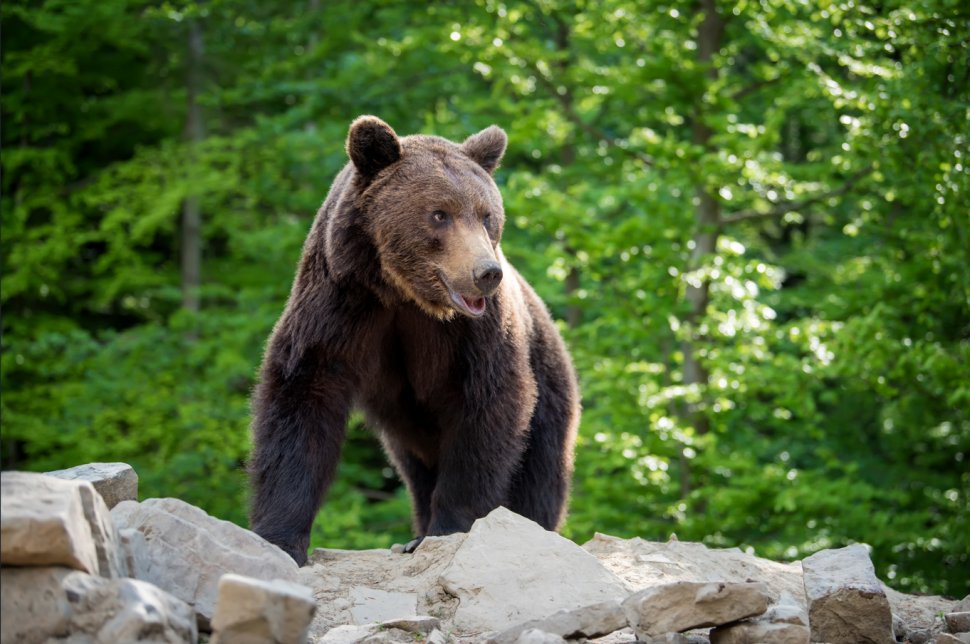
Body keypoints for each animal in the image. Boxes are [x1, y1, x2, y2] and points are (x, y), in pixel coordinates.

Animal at [250, 114, 584, 564]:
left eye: (486, 215)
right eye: (439, 213)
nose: (487, 272)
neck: (405, 295)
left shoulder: (476, 334)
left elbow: (487, 410)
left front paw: (449, 528)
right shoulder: (340, 306)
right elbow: (302, 397)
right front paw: (281, 538)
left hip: (549, 387)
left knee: (538, 474)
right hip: (407, 433)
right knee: (418, 469)